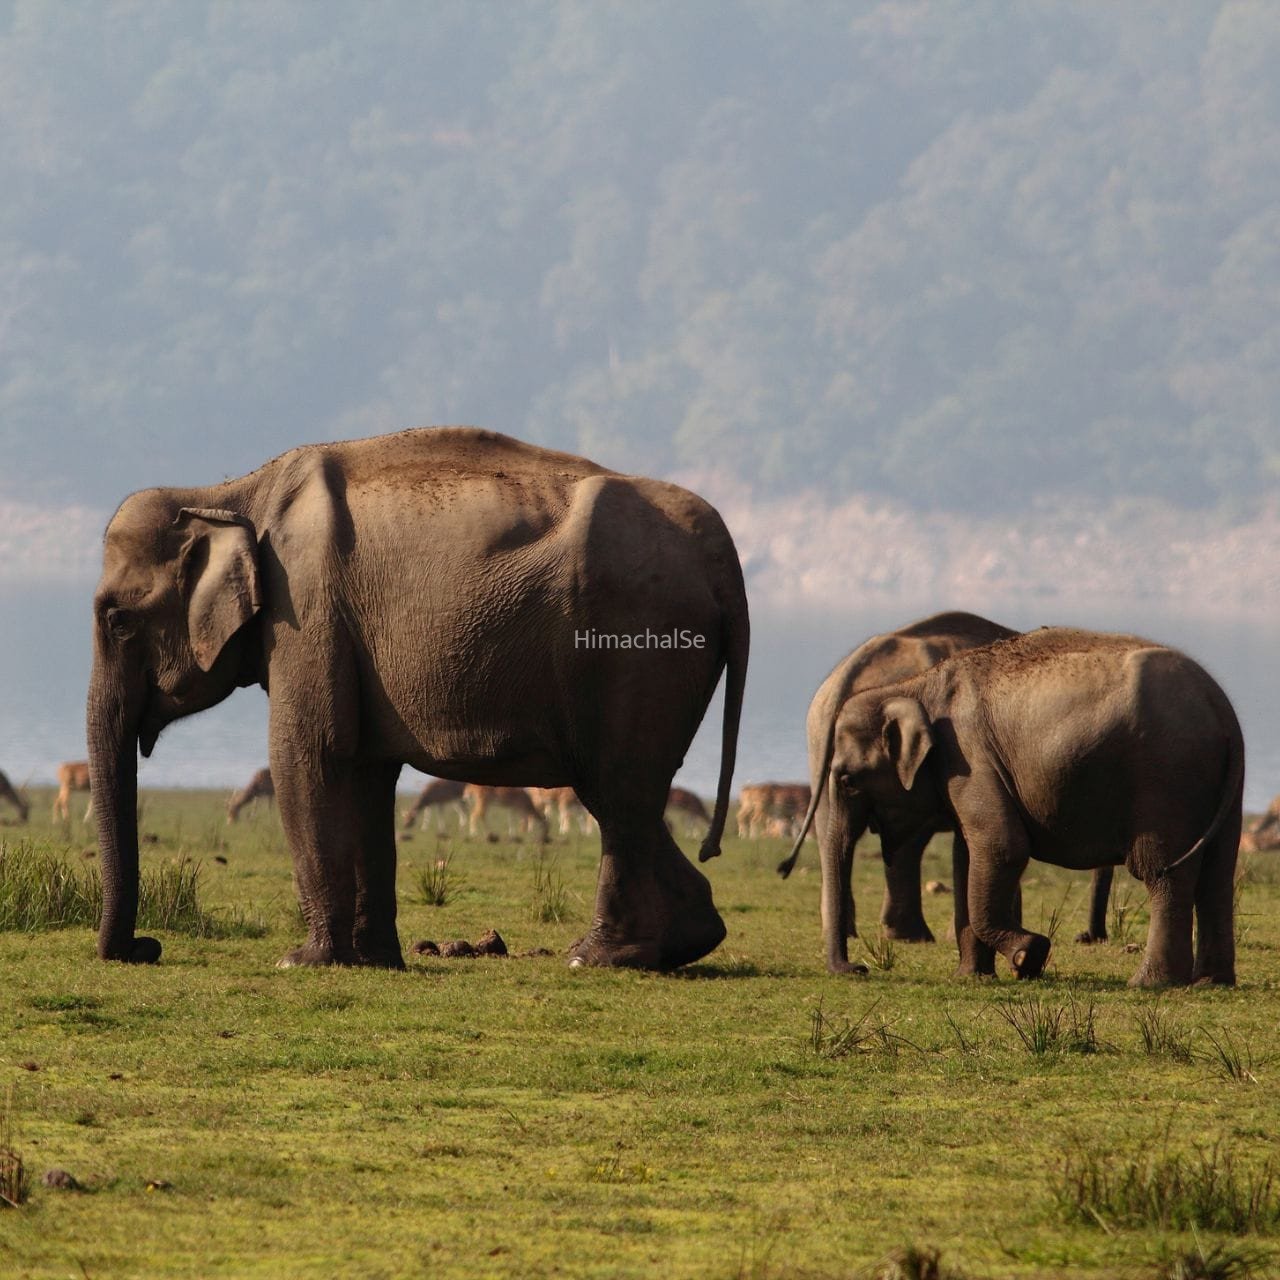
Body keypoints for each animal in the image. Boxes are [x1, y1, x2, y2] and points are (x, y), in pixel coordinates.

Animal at [87, 427, 748, 971]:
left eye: (116, 620)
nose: (146, 947)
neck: (230, 490)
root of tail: (721, 554)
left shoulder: (306, 610)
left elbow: (307, 756)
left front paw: (304, 961)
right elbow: (367, 772)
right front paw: (375, 961)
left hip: (638, 650)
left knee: (616, 789)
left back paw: (596, 957)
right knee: (626, 795)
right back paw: (676, 943)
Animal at [813, 626, 1242, 986]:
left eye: (848, 780)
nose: (858, 968)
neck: (916, 686)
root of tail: (1222, 707)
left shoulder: (969, 756)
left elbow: (1001, 847)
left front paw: (1027, 957)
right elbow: (967, 856)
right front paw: (973, 978)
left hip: (1167, 776)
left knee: (1162, 871)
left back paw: (1149, 983)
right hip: (1220, 785)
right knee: (1217, 873)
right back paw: (1211, 982)